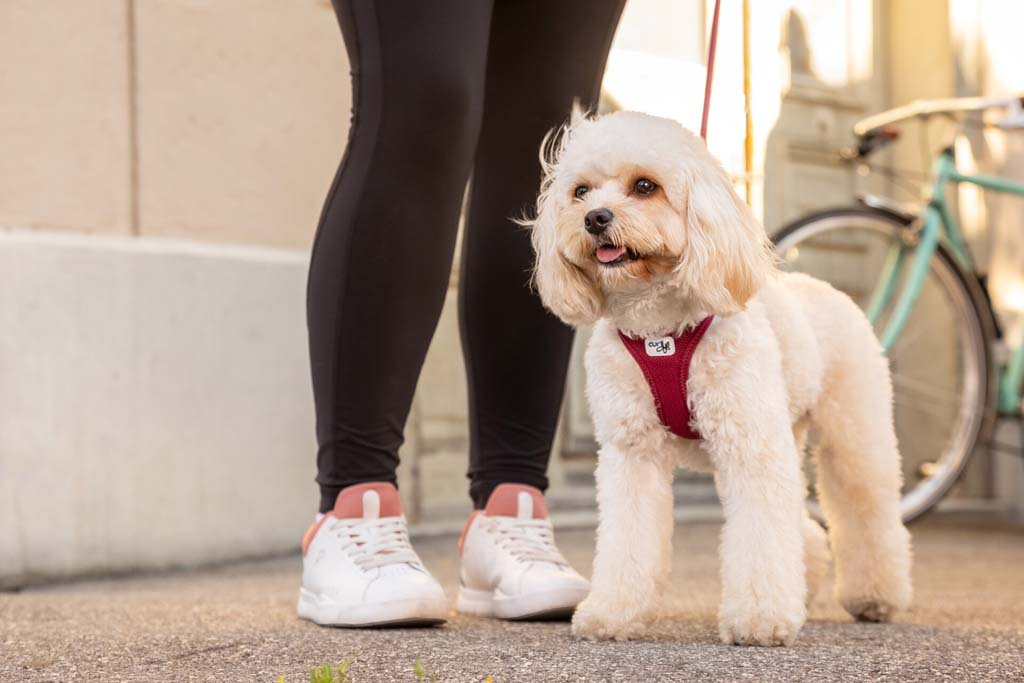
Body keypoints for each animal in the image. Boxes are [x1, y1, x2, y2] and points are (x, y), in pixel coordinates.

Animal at [528, 111, 913, 647]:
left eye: (644, 186)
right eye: (581, 191)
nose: (595, 218)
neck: (660, 330)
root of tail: (825, 288)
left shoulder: (748, 443)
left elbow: (760, 537)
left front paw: (759, 618)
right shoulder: (632, 453)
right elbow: (629, 538)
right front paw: (613, 612)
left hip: (853, 435)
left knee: (867, 510)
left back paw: (877, 596)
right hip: (786, 431)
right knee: (801, 525)